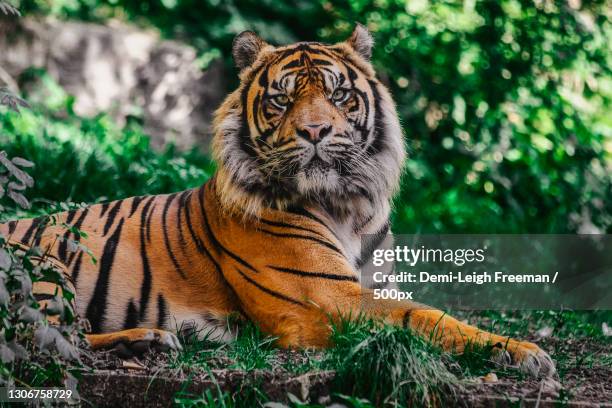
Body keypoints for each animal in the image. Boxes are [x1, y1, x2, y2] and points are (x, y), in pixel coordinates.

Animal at [0, 24, 556, 376]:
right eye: (282, 99)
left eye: (338, 95)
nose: (315, 130)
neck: (348, 208)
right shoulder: (328, 298)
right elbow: (423, 317)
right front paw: (522, 352)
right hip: (45, 267)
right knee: (40, 340)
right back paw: (149, 340)